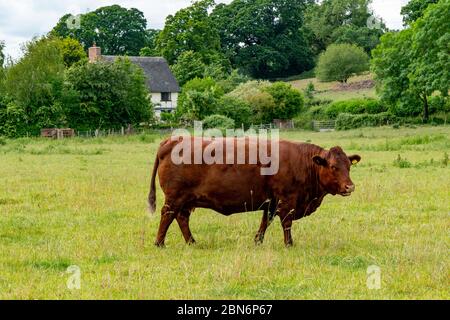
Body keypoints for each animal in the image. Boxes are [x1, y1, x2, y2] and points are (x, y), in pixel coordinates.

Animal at [149, 136, 360, 246]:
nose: (350, 186)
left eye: (349, 166)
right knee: (167, 215)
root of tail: (173, 140)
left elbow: (265, 221)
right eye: (333, 166)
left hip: (186, 200)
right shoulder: (287, 200)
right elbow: (286, 223)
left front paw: (258, 241)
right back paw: (160, 243)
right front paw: (289, 244)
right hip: (175, 197)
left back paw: (192, 241)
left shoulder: (272, 202)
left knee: (181, 218)